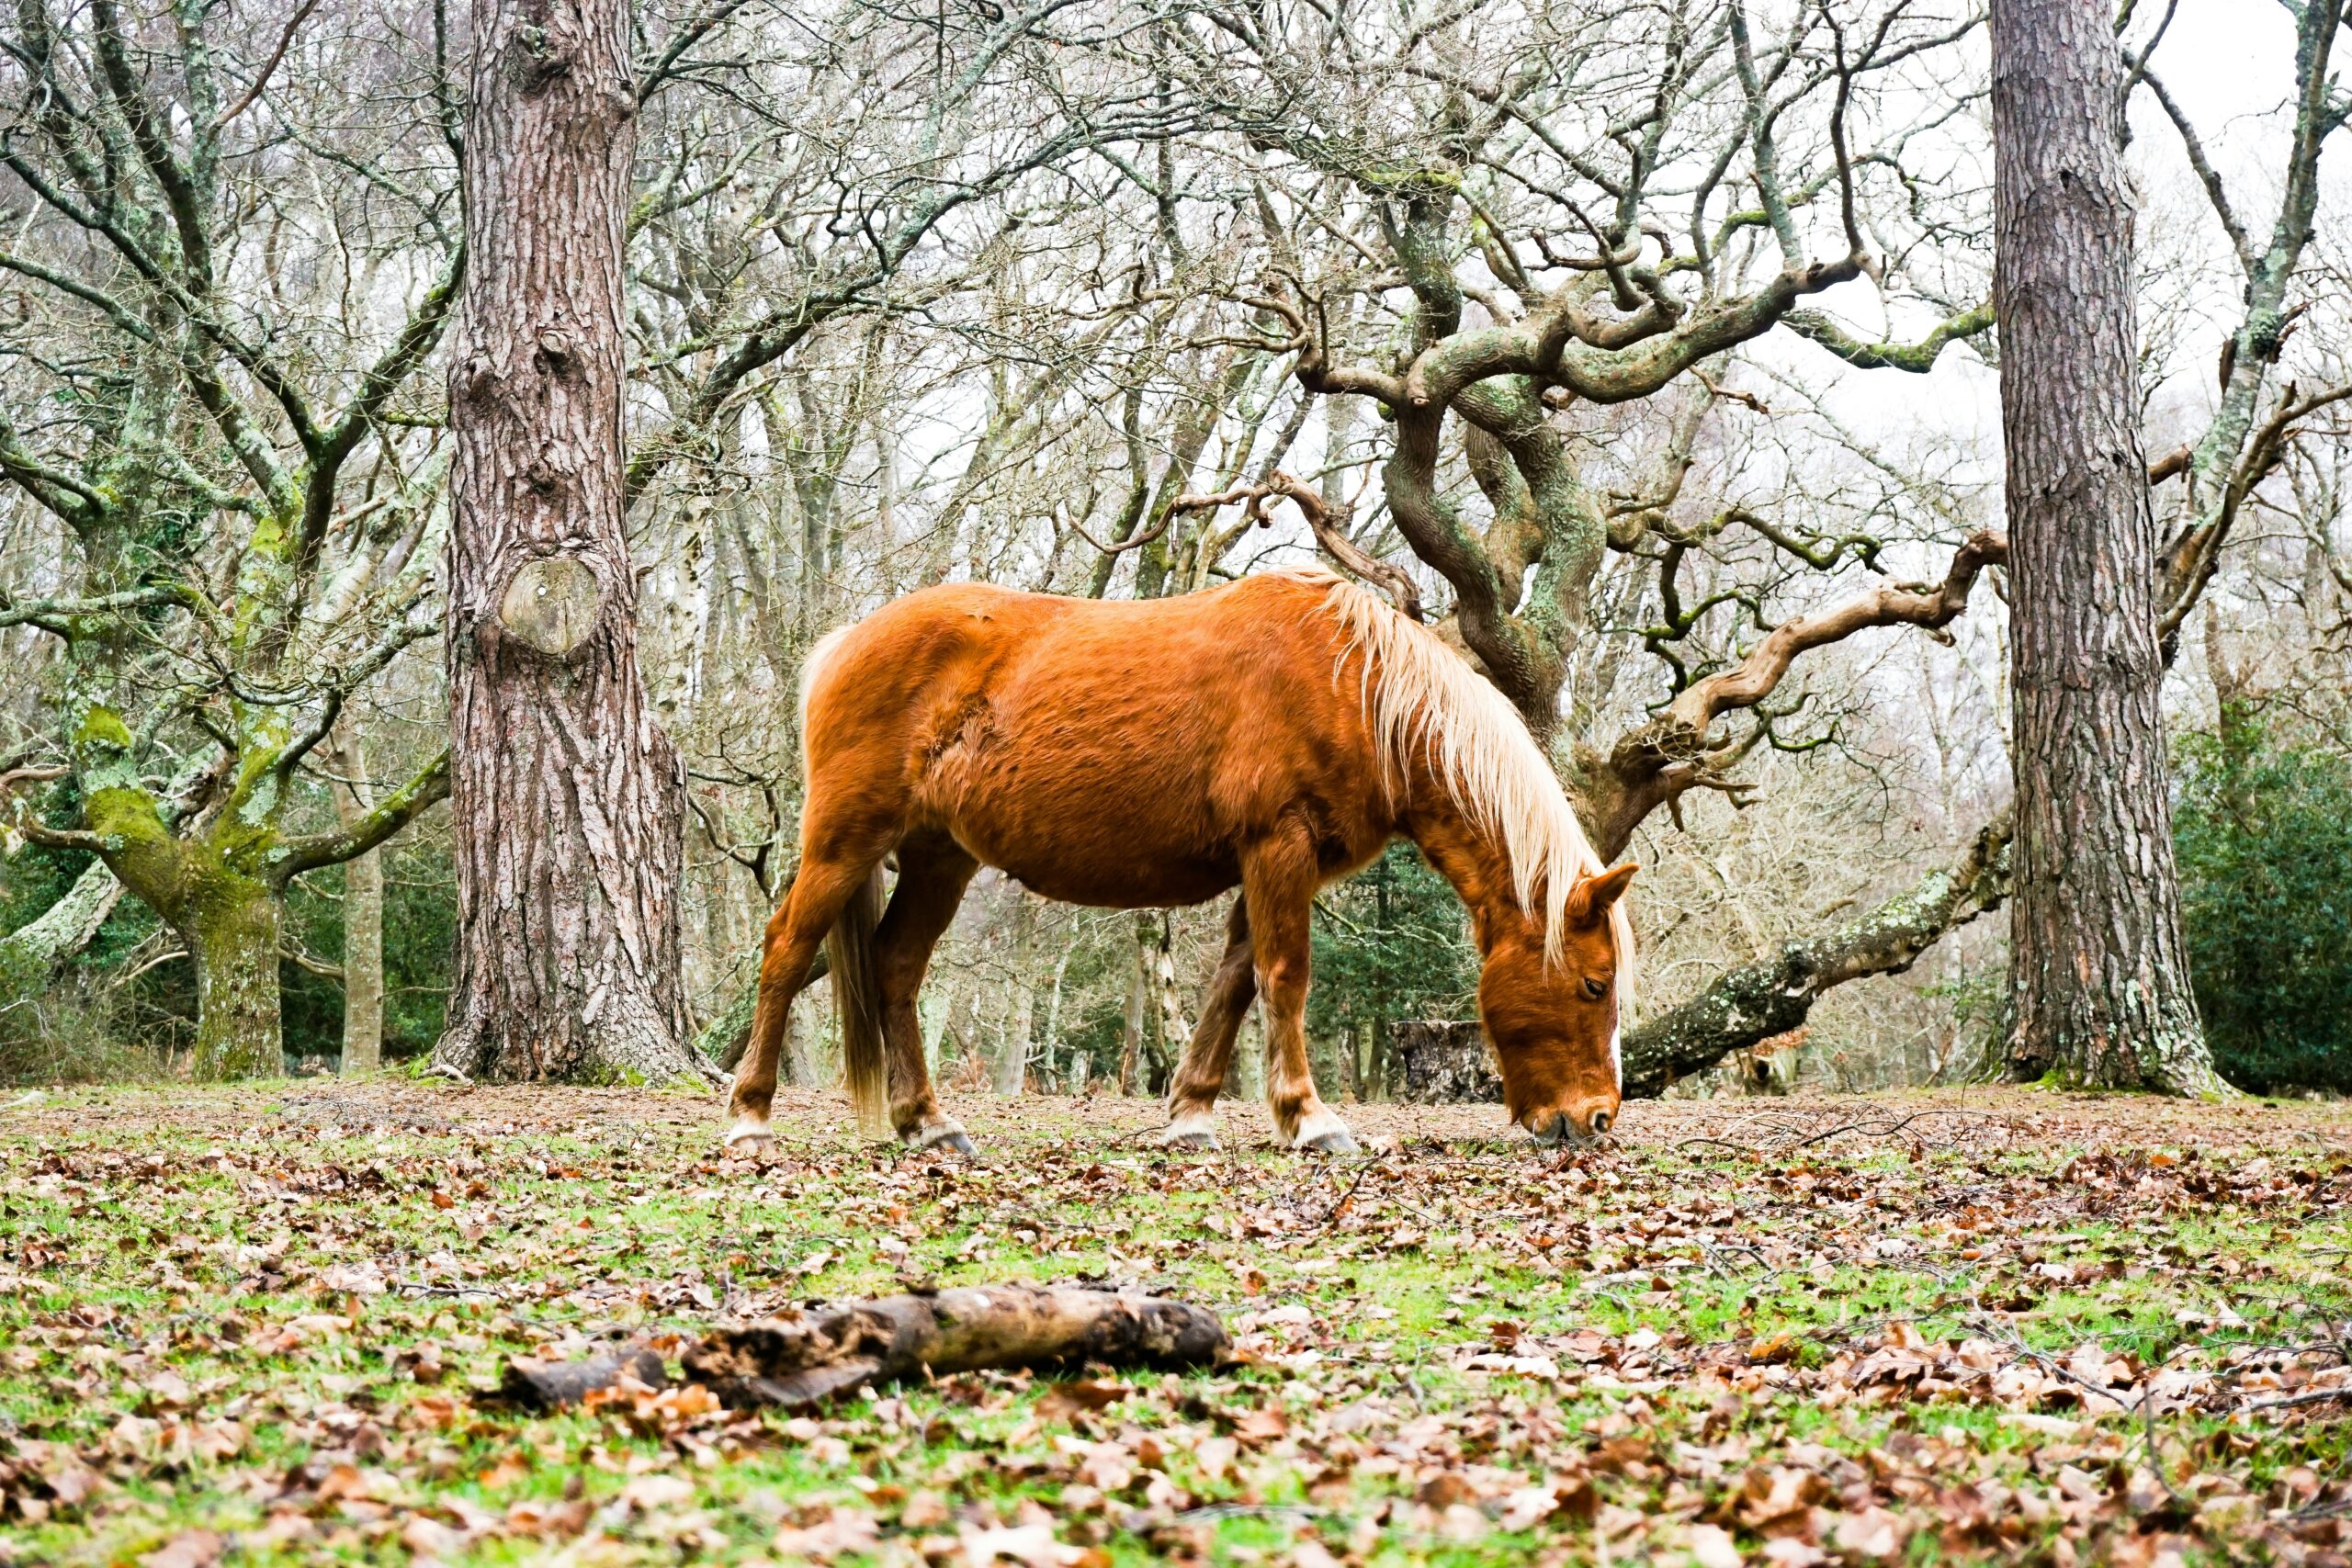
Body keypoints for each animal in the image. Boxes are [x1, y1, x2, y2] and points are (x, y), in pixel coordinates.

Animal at [719, 570, 1636, 1161]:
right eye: (1594, 984)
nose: (1596, 1120)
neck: (1356, 687)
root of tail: (846, 643)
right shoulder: (1278, 848)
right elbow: (1284, 978)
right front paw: (1310, 1119)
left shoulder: (1275, 865)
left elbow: (1232, 981)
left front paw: (1192, 1114)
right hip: (843, 841)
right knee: (786, 950)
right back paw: (751, 1115)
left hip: (939, 856)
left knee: (897, 969)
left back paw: (928, 1123)